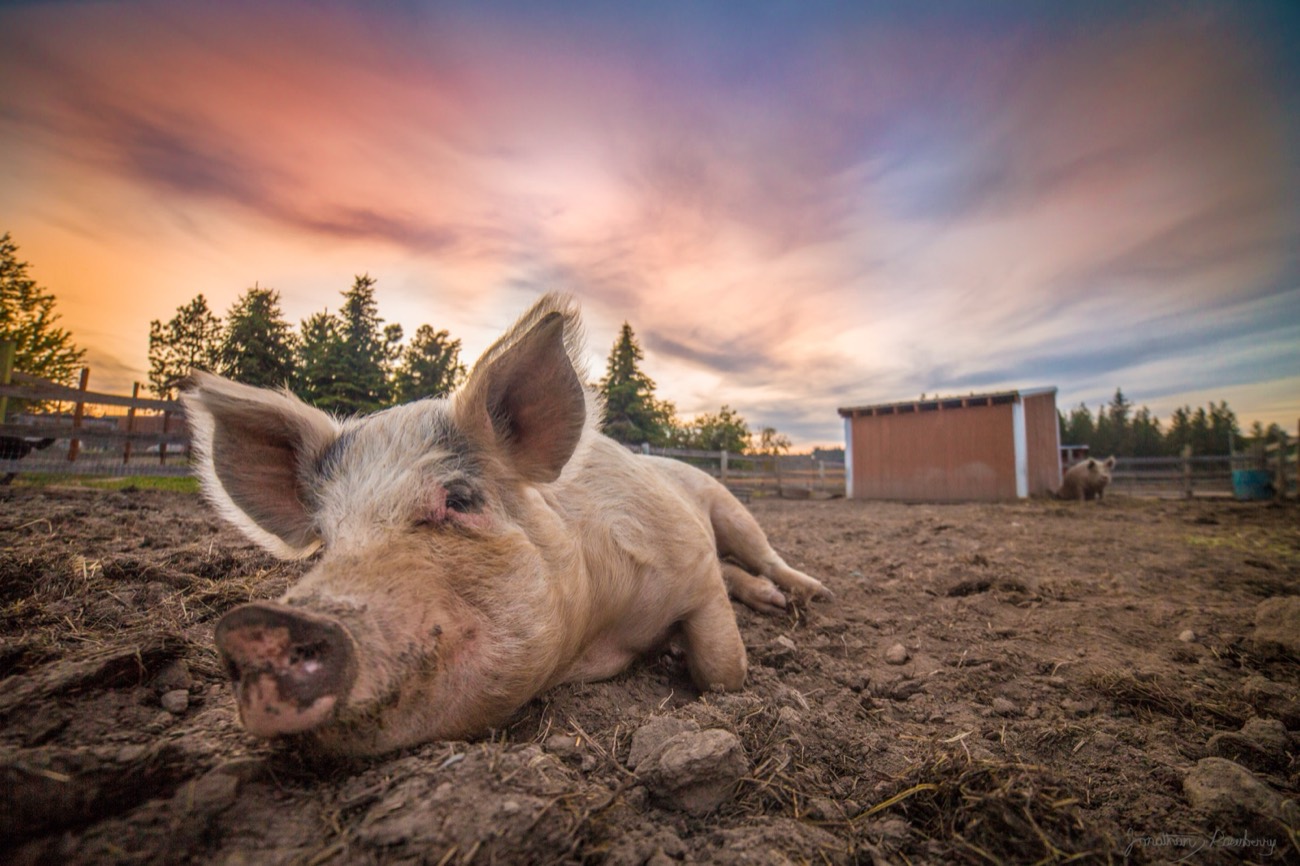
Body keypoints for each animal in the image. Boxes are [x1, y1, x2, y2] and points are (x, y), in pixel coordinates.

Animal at [182, 293, 829, 756]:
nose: (257, 624)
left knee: (762, 555)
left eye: (460, 499)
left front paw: (680, 656)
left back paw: (806, 595)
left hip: (729, 507)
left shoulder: (688, 560)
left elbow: (724, 670)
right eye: (330, 536)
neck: (595, 636)